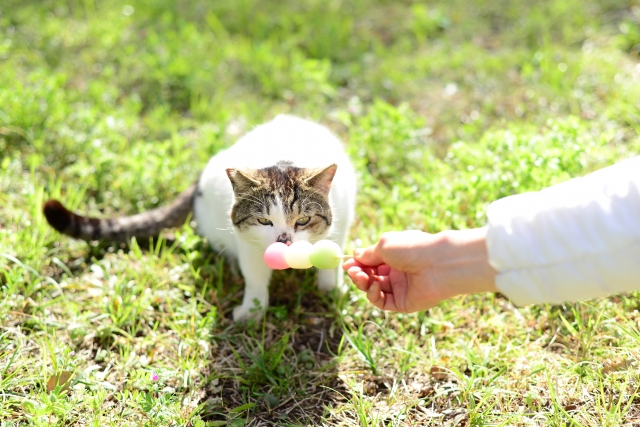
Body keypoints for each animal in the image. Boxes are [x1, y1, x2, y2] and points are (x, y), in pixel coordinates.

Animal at [42, 115, 358, 322]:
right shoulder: (249, 244)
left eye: (302, 221)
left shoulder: (340, 227)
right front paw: (252, 312)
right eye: (264, 222)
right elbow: (255, 279)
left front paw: (331, 290)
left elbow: (331, 264)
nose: (284, 240)